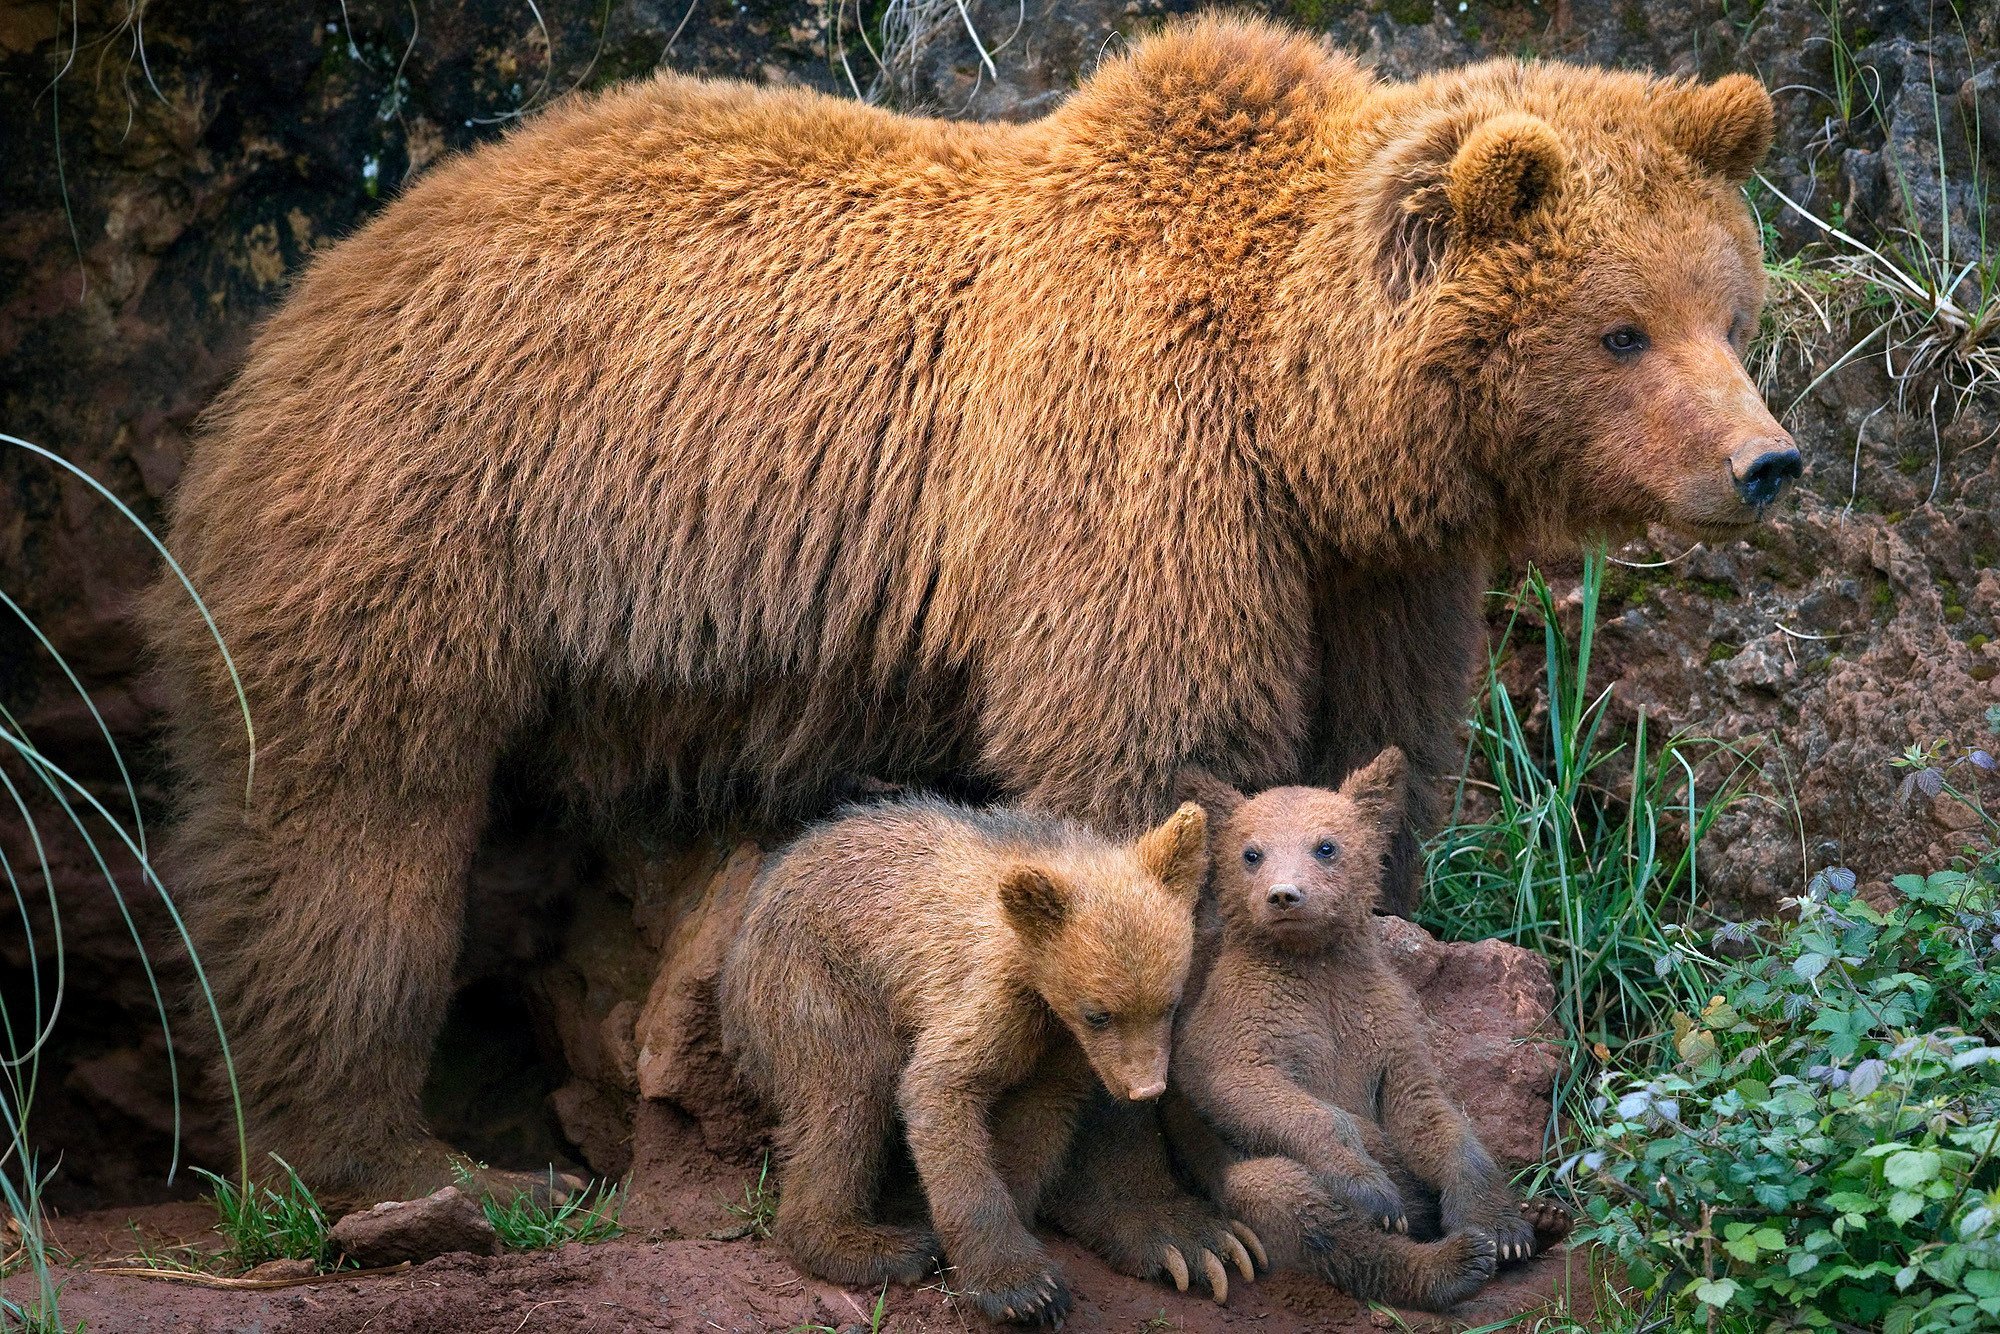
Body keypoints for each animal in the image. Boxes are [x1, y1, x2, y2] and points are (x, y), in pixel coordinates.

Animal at [145, 7, 1800, 1240]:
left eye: (1733, 307)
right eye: (1623, 329)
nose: (1767, 462)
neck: (1300, 403)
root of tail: (307, 297)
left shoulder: (1366, 572)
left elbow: (1372, 753)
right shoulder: (1139, 464)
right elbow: (1144, 757)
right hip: (427, 518)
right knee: (349, 834)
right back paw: (392, 1159)